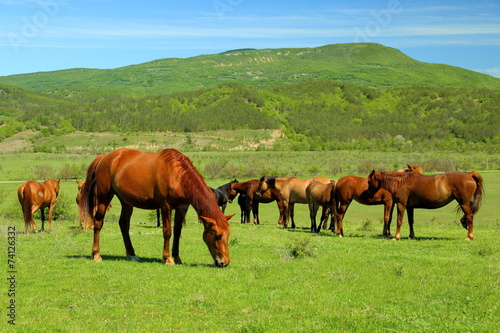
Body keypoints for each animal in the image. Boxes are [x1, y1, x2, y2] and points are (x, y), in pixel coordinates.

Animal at [78, 148, 234, 268]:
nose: (224, 263)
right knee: (98, 222)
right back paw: (96, 255)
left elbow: (177, 232)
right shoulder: (166, 206)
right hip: (104, 197)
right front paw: (168, 259)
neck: (178, 175)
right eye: (218, 235)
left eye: (228, 234)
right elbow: (168, 231)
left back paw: (131, 254)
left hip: (126, 201)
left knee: (124, 224)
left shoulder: (182, 207)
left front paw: (177, 258)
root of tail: (104, 157)